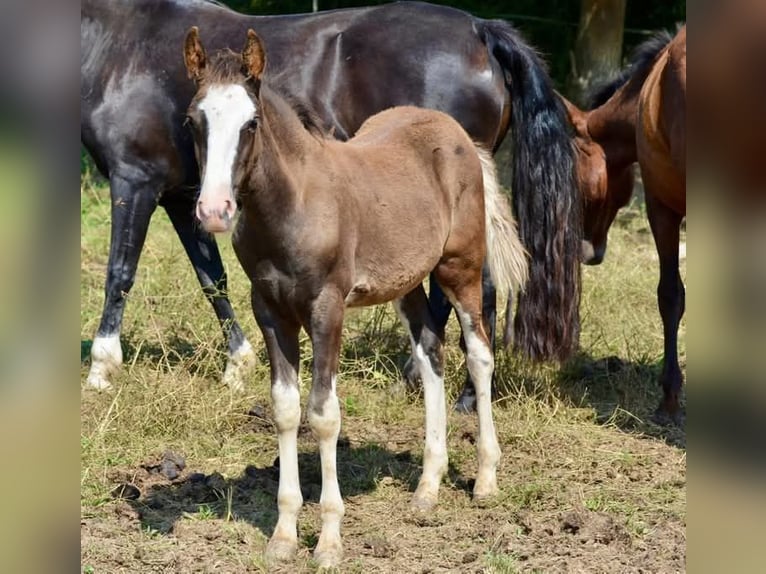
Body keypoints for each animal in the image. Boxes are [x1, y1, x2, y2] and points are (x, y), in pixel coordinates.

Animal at [79, 0, 584, 398]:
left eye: (251, 124)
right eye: (192, 121)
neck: (121, 44)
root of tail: (481, 30)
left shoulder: (135, 182)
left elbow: (119, 272)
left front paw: (102, 369)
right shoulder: (186, 200)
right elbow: (213, 279)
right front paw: (237, 365)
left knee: (477, 291)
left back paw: (458, 396)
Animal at [183, 27, 532, 568]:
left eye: (251, 123)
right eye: (193, 120)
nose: (214, 210)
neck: (294, 205)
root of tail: (458, 135)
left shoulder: (327, 309)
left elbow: (324, 415)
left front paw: (328, 542)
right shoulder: (270, 310)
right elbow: (285, 409)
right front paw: (283, 536)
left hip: (460, 268)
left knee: (478, 355)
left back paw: (486, 479)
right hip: (406, 282)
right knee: (431, 353)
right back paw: (427, 487)